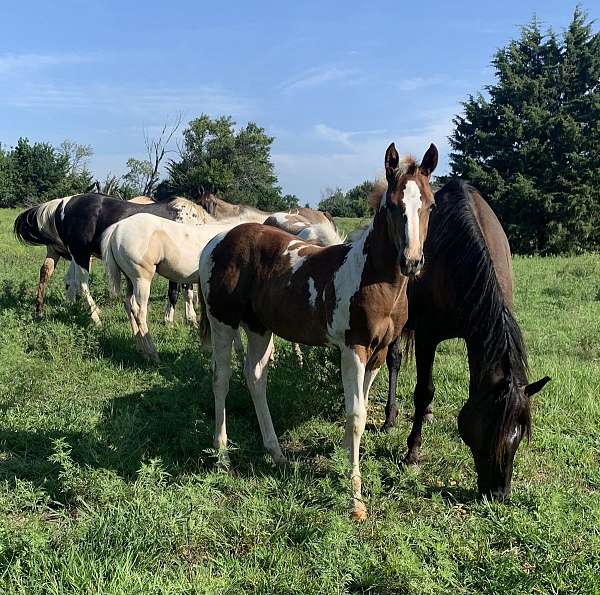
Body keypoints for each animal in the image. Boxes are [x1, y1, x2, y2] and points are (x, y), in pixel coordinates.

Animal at [199, 142, 438, 520]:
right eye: (392, 204)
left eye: (430, 205)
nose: (412, 262)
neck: (371, 278)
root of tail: (217, 240)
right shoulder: (353, 349)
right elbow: (355, 415)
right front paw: (355, 500)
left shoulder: (378, 353)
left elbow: (361, 407)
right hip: (223, 323)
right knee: (221, 378)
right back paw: (222, 456)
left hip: (259, 328)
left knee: (255, 378)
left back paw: (276, 452)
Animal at [382, 179, 552, 500]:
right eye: (489, 428)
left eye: (519, 434)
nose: (499, 494)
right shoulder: (427, 336)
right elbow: (423, 390)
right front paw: (412, 454)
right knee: (394, 360)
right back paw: (390, 418)